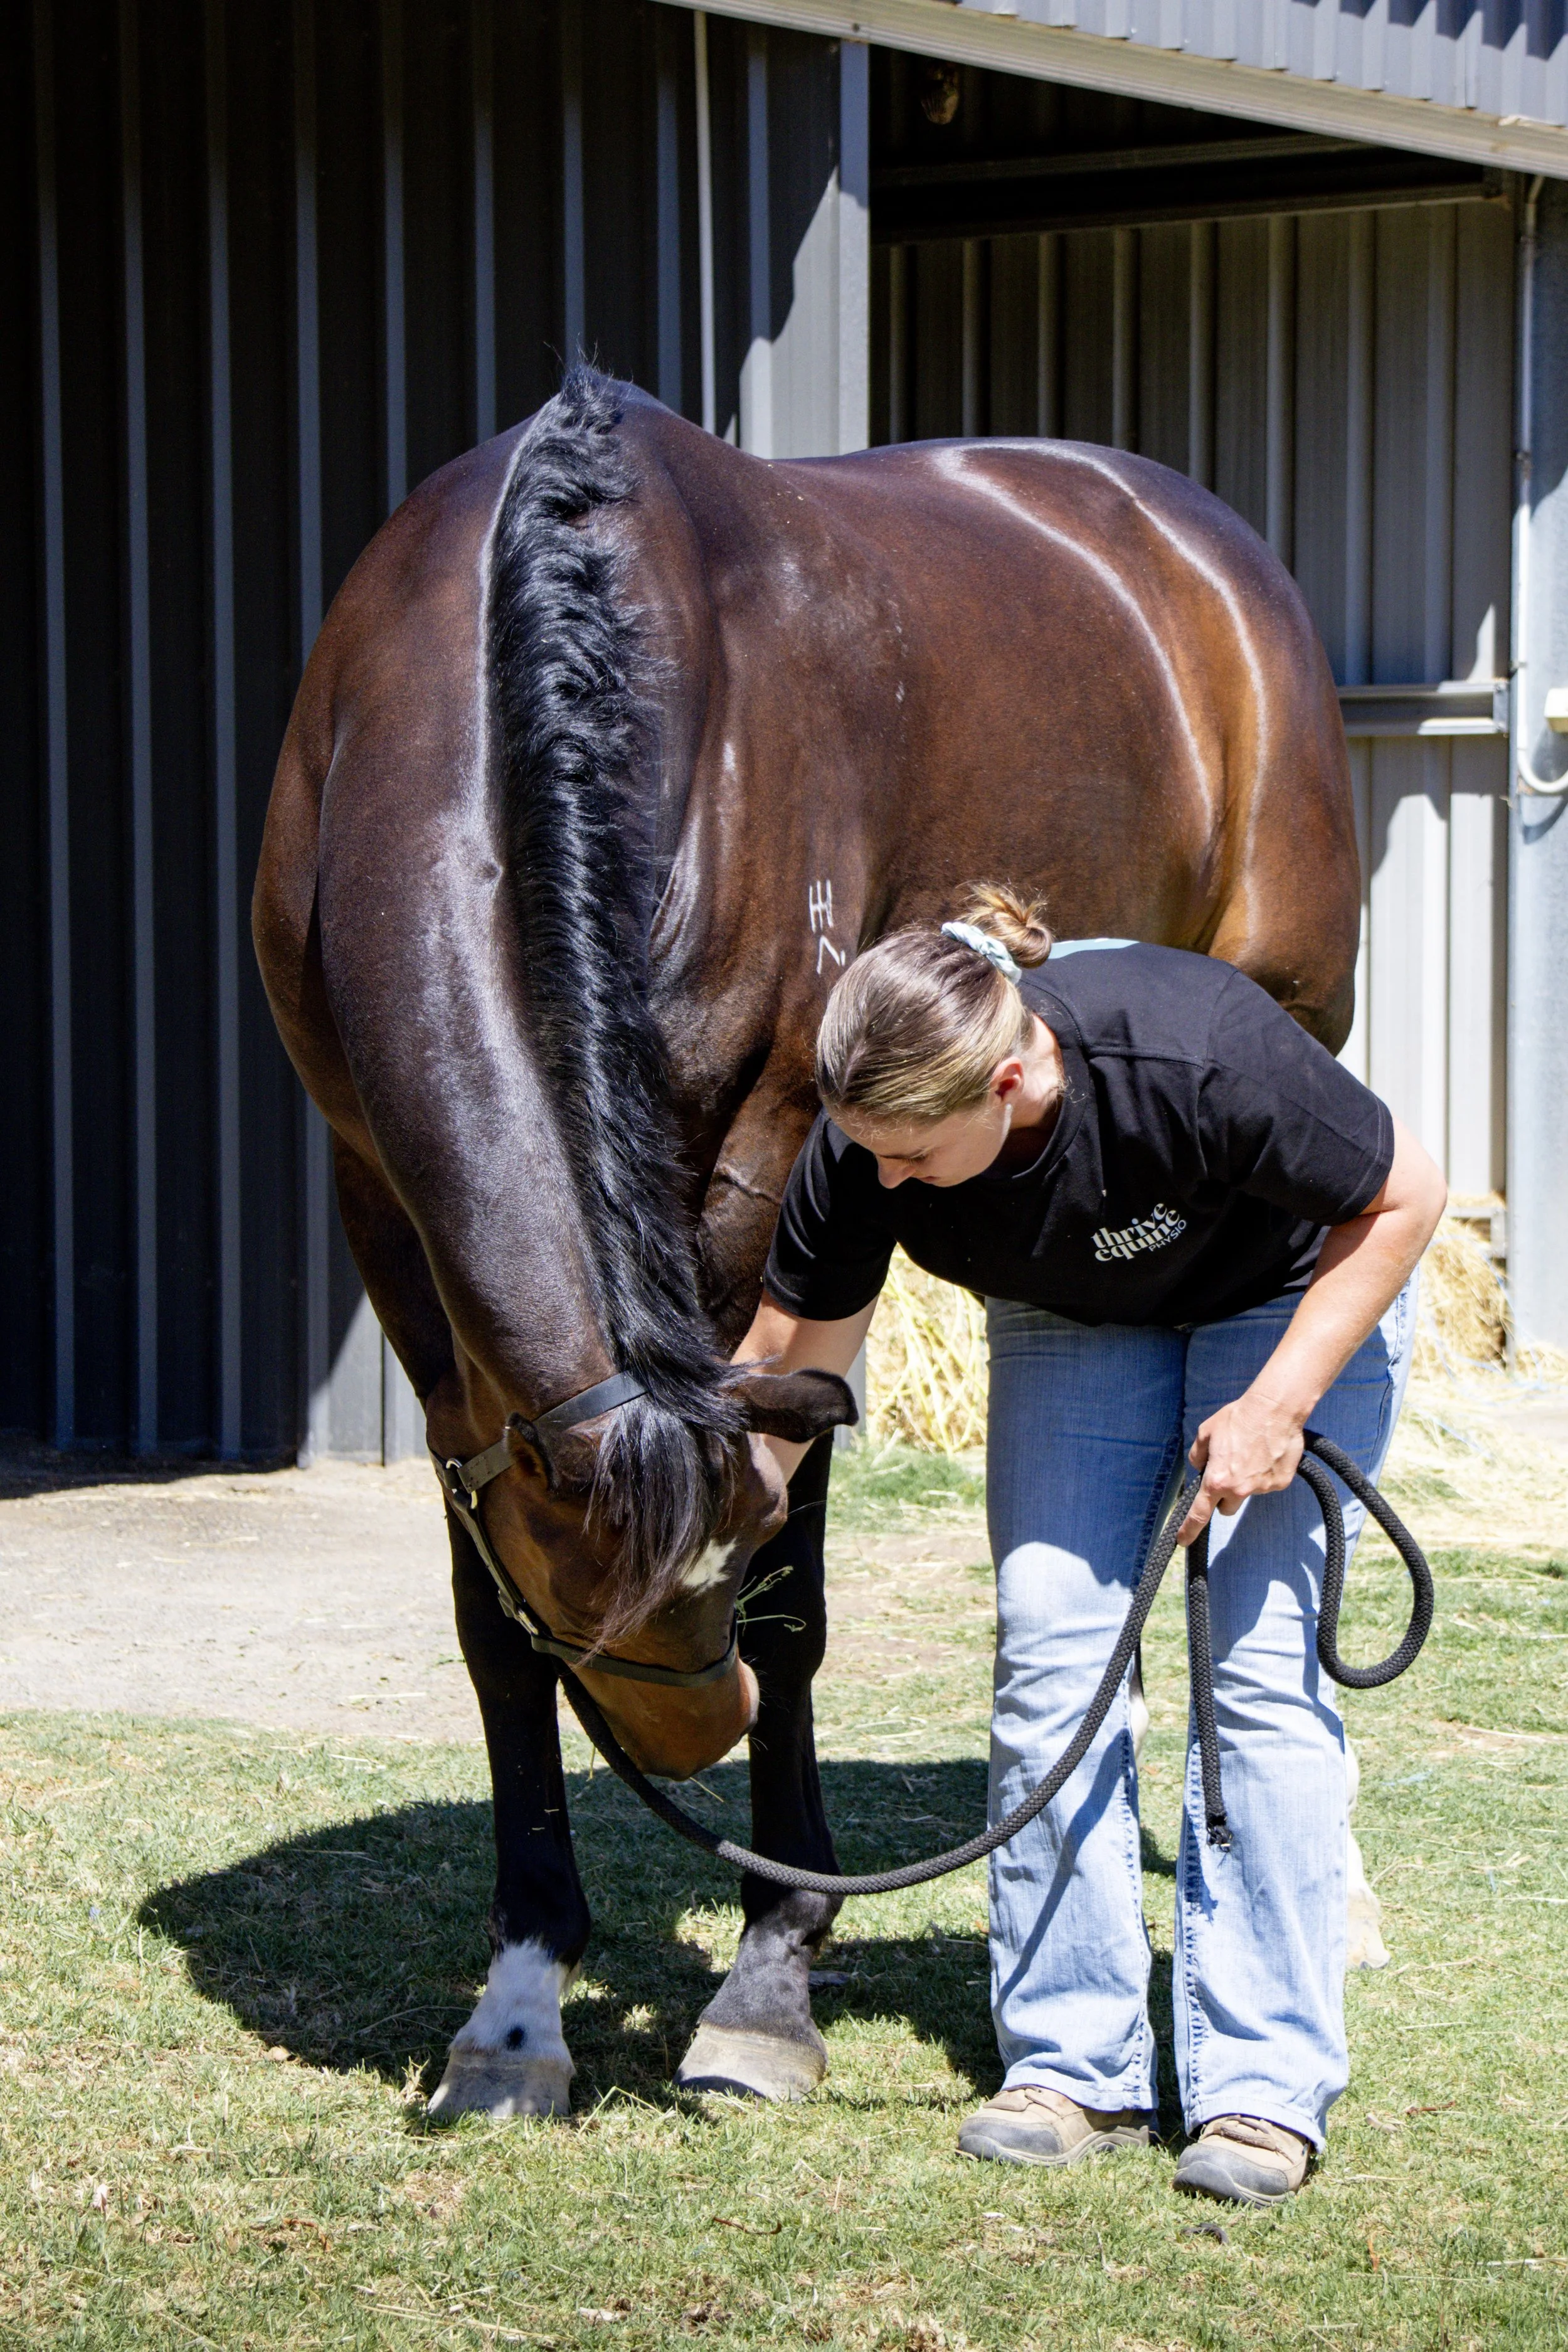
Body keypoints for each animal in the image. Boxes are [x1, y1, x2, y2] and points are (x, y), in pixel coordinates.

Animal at [253, 365, 1361, 2118]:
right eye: (593, 1600)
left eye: (721, 1562)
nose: (687, 1729)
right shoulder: (377, 1197)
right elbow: (486, 1628)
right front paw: (519, 2005)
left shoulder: (772, 1172)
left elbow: (799, 1593)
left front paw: (767, 1979)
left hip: (1303, 1017)